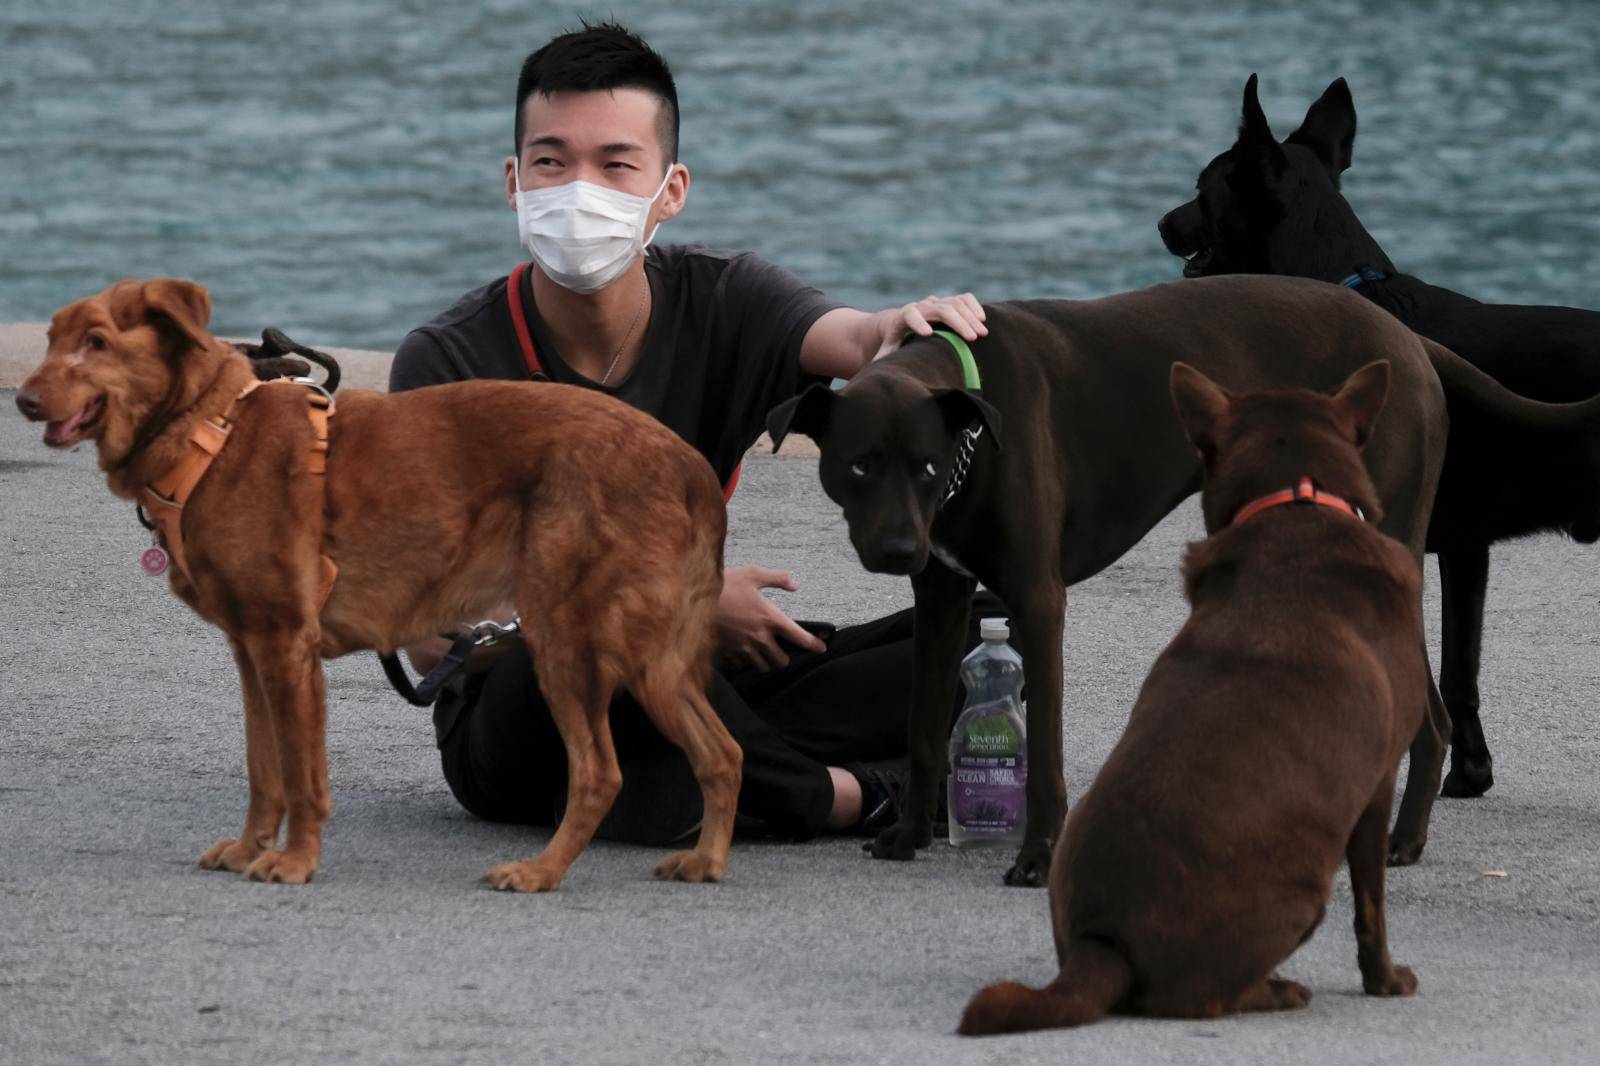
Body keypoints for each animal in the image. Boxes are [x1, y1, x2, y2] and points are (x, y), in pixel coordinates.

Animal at [15, 280, 739, 889]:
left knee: (598, 774)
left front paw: (295, 861)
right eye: (50, 339)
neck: (211, 434)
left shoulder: (286, 645)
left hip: (566, 642)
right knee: (721, 753)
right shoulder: (252, 650)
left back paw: (540, 871)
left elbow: (301, 775)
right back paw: (705, 860)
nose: (22, 400)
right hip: (654, 663)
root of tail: (689, 468)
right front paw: (251, 849)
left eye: (96, 342)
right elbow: (263, 768)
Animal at [960, 358, 1427, 1030]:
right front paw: (1385, 981)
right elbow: (1372, 908)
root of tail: (1106, 945)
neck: (1295, 505)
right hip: (1304, 889)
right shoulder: (1377, 784)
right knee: (1205, 997)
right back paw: (1278, 989)